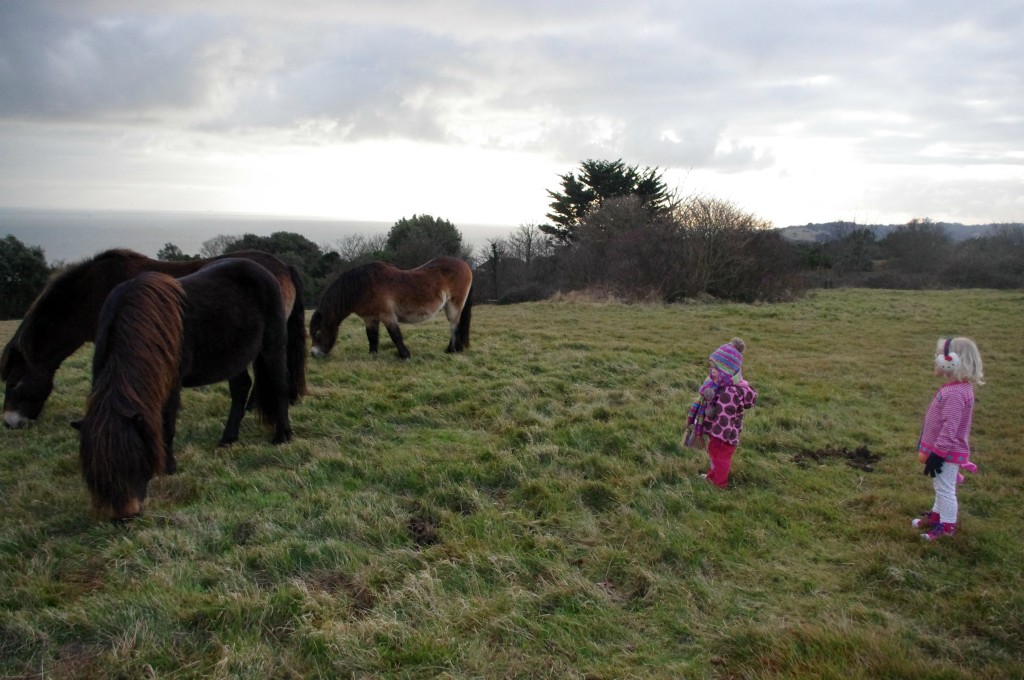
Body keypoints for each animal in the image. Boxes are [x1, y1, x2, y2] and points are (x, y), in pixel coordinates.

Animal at [74, 258, 292, 521]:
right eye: (96, 472)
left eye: (134, 461)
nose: (126, 515)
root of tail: (262, 269)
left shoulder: (172, 384)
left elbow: (166, 425)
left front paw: (168, 467)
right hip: (234, 356)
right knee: (241, 389)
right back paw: (227, 439)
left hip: (273, 343)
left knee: (279, 386)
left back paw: (282, 436)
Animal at [309, 256, 473, 360]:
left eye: (317, 332)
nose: (313, 354)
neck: (364, 287)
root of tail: (465, 264)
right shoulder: (370, 318)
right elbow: (372, 337)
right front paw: (372, 355)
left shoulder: (387, 316)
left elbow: (395, 336)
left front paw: (405, 356)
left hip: (453, 305)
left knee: (454, 325)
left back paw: (451, 350)